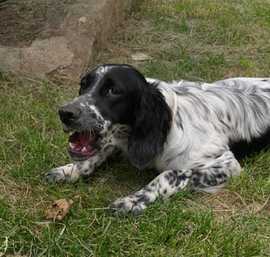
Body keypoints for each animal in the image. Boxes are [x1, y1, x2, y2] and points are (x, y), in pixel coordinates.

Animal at [45, 64, 270, 216]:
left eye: (113, 91)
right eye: (83, 85)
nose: (65, 113)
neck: (170, 124)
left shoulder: (226, 163)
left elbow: (170, 174)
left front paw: (132, 201)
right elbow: (100, 151)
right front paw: (68, 170)